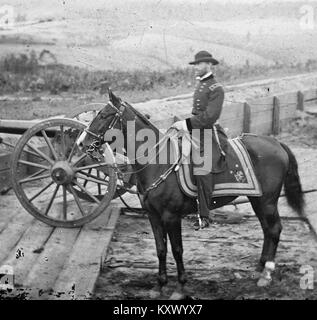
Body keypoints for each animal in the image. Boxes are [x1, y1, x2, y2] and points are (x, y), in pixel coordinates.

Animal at [76, 90, 304, 300]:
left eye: (103, 115)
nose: (80, 143)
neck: (158, 162)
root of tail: (276, 143)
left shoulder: (171, 216)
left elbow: (177, 249)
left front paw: (180, 287)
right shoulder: (153, 215)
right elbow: (160, 249)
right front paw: (159, 285)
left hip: (267, 201)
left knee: (274, 229)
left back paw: (266, 274)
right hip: (257, 199)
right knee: (267, 229)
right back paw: (259, 268)